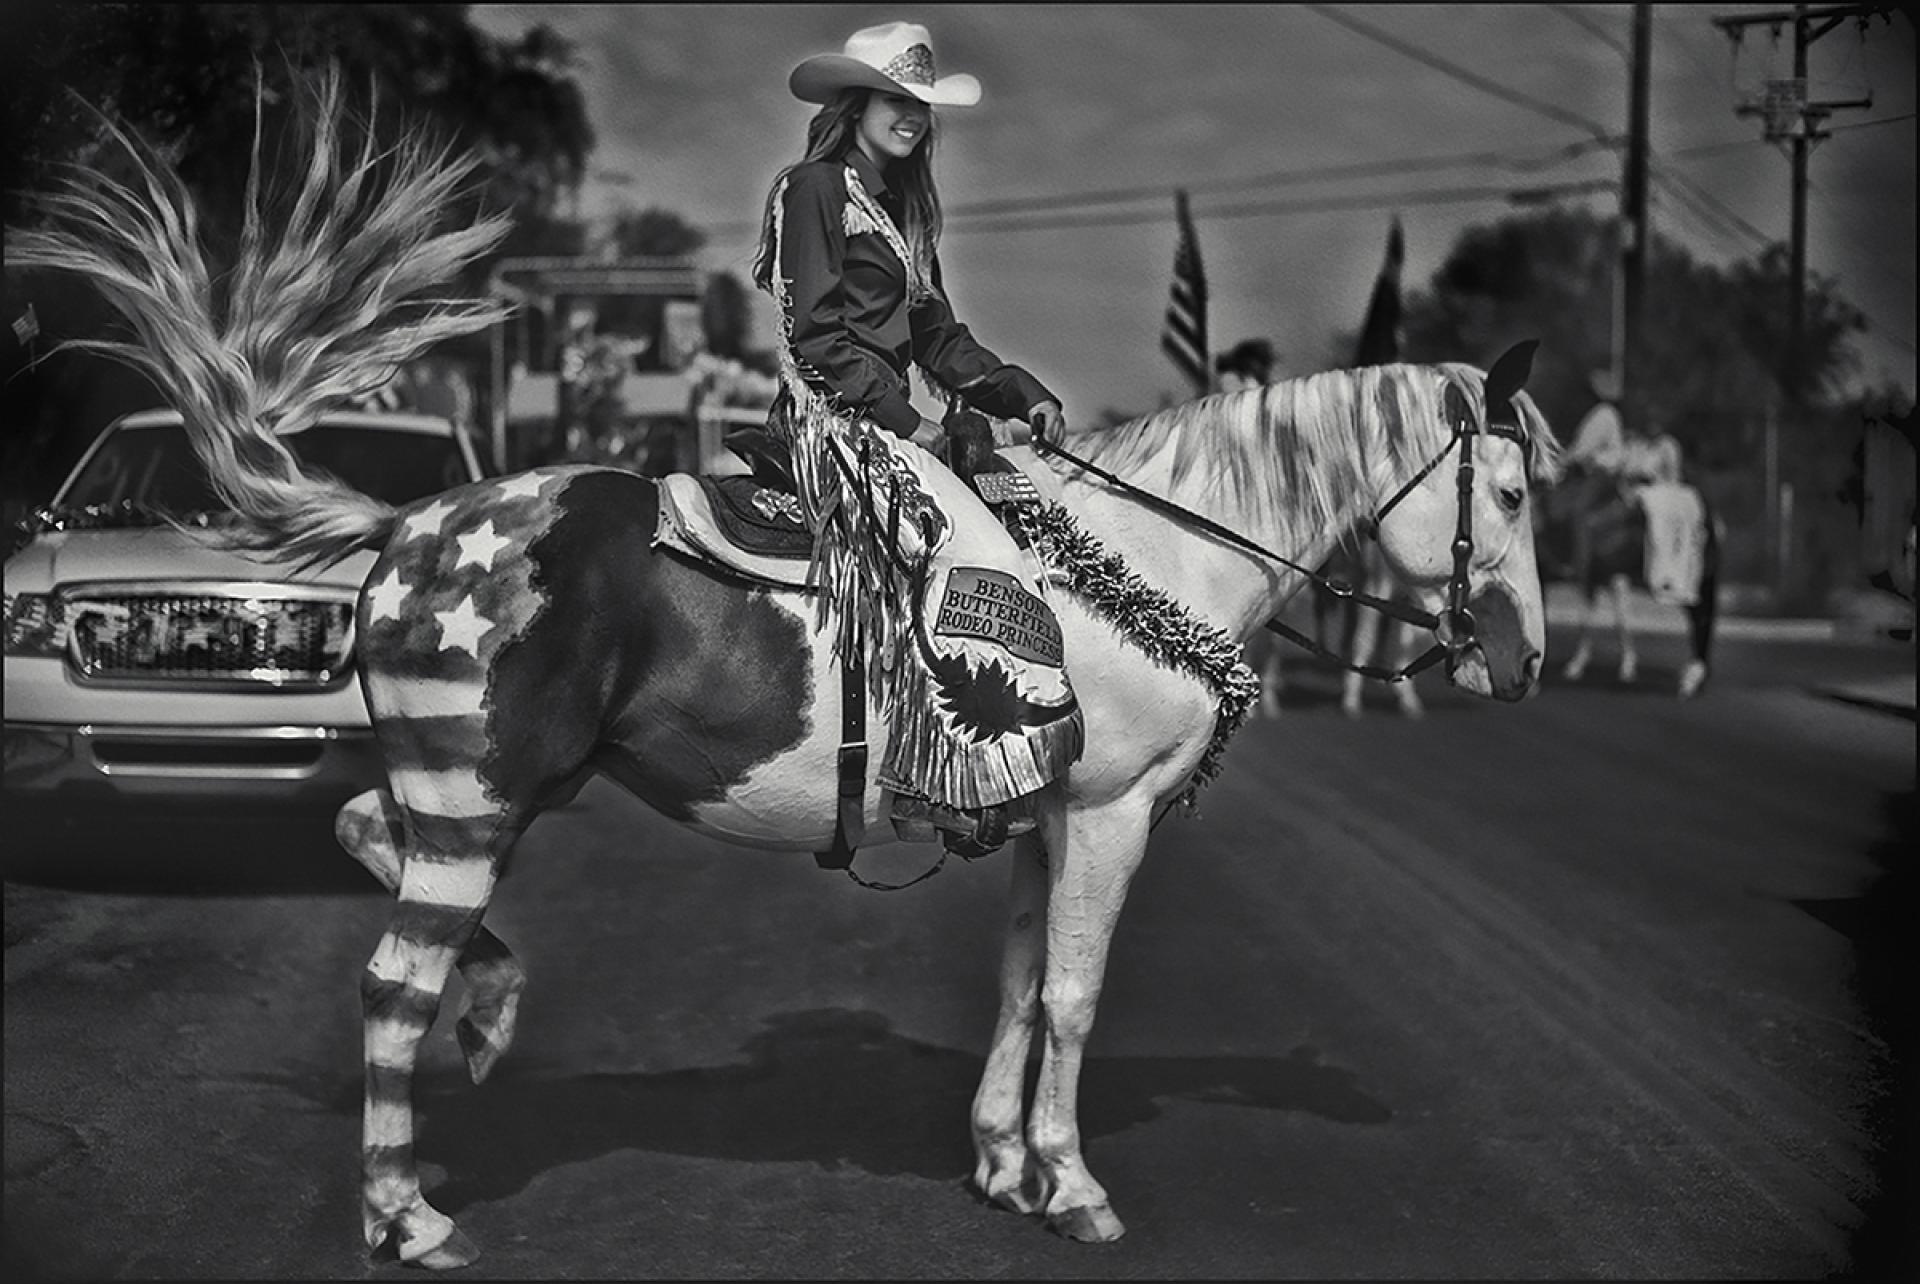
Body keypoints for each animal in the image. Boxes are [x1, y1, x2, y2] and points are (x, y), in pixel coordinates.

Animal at [15, 82, 1559, 1274]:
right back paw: (408, 1214)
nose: (1527, 658)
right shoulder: (1109, 813)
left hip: (457, 791)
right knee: (395, 980)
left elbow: (1017, 988)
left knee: (359, 841)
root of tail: (406, 529)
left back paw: (494, 1011)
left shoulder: (1043, 816)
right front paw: (1073, 1188)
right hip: (475, 803)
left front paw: (1003, 1165)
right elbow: (1071, 1000)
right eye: (1516, 491)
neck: (1130, 563)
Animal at [1528, 462, 1728, 694]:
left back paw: (1693, 677)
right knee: (1702, 615)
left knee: (1701, 615)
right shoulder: (1602, 575)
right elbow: (1616, 618)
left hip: (1696, 580)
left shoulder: (1588, 573)